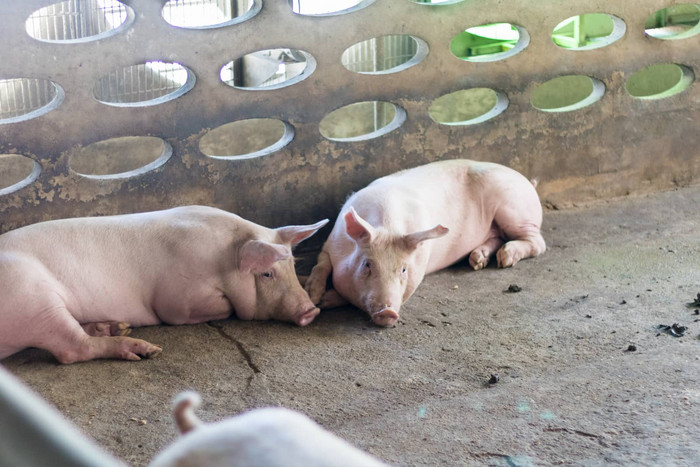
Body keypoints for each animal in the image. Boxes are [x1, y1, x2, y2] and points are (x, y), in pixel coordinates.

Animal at [0, 207, 328, 364]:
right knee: (71, 349)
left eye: (292, 266)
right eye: (267, 274)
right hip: (35, 300)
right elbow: (197, 311)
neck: (223, 260)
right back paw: (144, 350)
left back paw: (116, 327)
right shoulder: (176, 300)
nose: (311, 311)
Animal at [306, 161, 548, 330]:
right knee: (498, 237)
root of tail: (527, 181)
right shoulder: (329, 245)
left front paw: (322, 300)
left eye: (404, 269)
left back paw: (505, 259)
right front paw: (314, 296)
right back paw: (477, 260)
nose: (388, 312)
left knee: (538, 243)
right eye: (367, 264)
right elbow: (321, 264)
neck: (388, 224)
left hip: (515, 210)